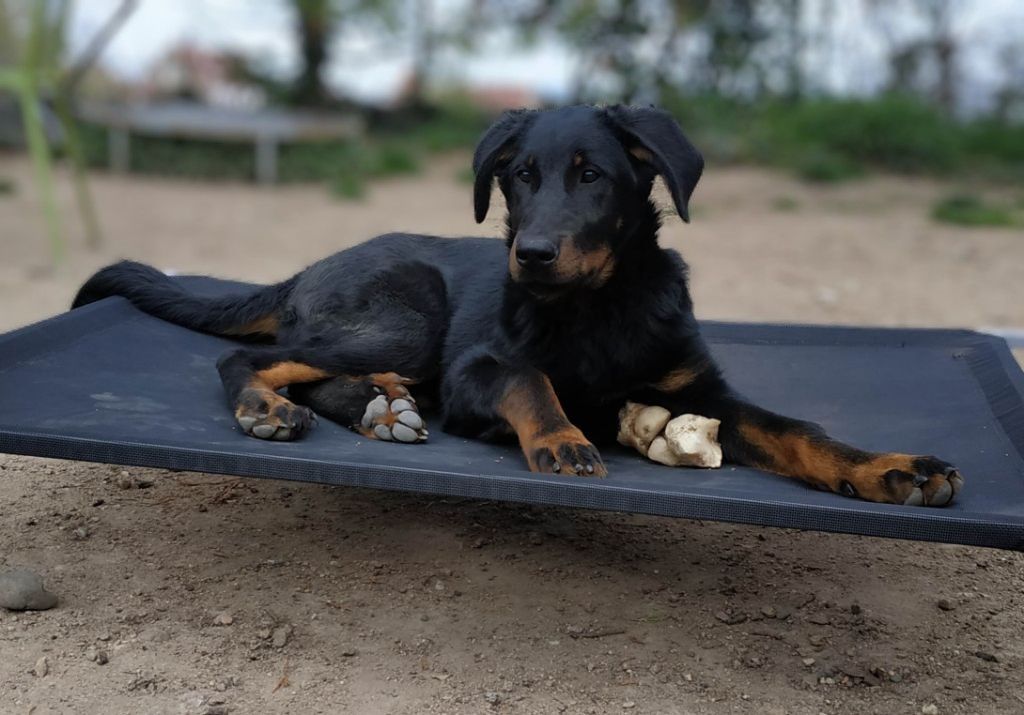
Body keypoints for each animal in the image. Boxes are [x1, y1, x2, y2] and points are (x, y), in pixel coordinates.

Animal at [74, 104, 958, 506]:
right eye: (519, 176)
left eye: (592, 175)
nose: (529, 255)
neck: (598, 306)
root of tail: (302, 271)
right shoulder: (476, 372)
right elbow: (530, 379)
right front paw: (563, 436)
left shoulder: (701, 391)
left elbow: (800, 430)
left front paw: (890, 467)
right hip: (410, 316)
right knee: (251, 354)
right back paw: (269, 406)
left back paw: (380, 407)